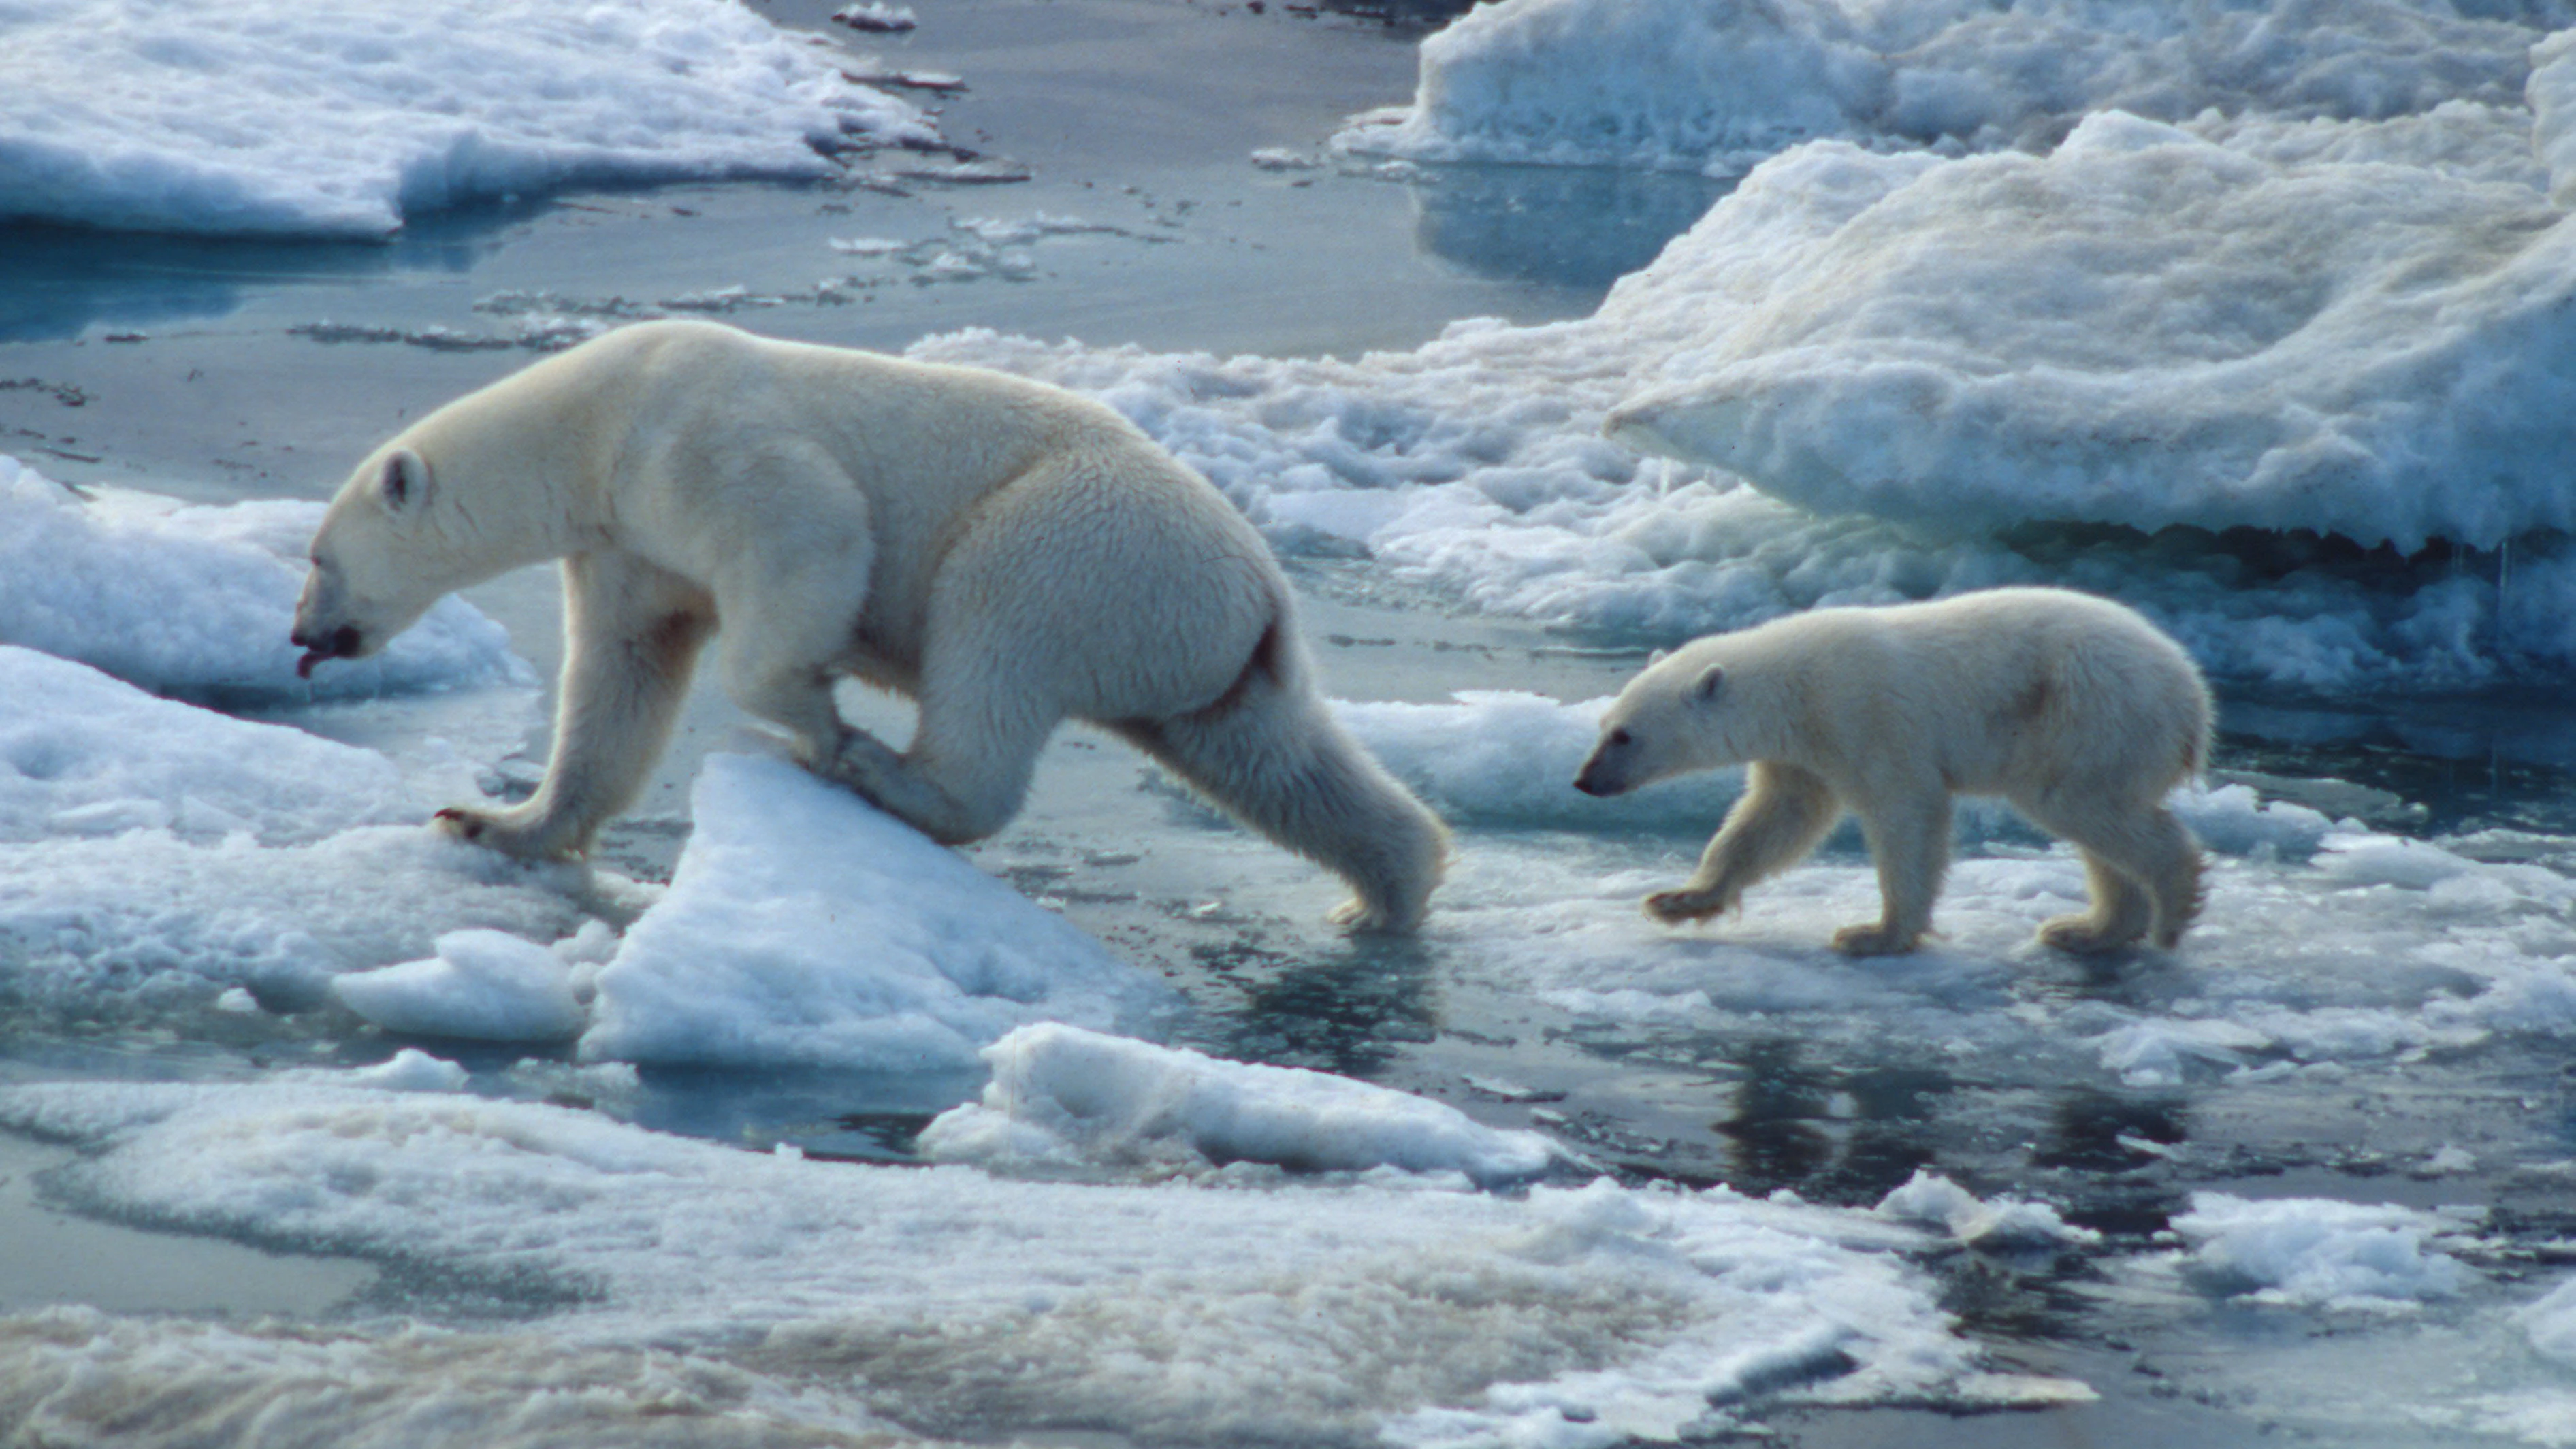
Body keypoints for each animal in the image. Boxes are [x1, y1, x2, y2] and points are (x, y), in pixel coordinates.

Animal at [292, 320, 1453, 931]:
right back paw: (1386, 892)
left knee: (990, 641)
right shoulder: (627, 542)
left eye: (317, 559)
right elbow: (620, 679)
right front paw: (491, 820)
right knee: (1273, 761)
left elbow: (812, 535)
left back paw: (886, 774)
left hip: (1076, 544)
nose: (302, 635)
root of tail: (1263, 590)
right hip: (1199, 653)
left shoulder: (702, 452)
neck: (597, 423)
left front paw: (820, 721)